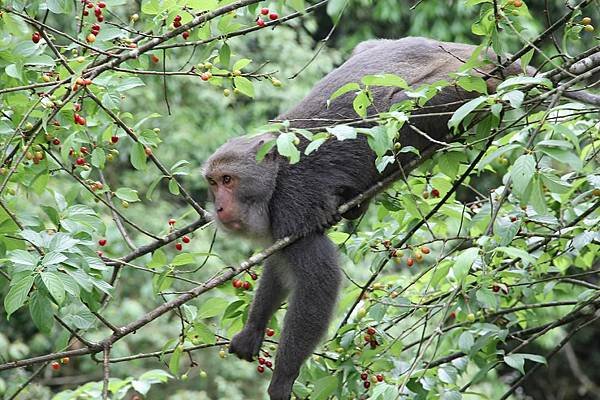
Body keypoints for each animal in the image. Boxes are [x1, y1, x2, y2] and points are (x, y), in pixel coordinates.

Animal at [204, 37, 532, 400]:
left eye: (229, 180)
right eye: (213, 183)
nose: (219, 208)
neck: (275, 176)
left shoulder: (293, 204)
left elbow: (318, 280)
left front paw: (283, 377)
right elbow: (279, 268)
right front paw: (254, 329)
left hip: (461, 84)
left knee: (401, 109)